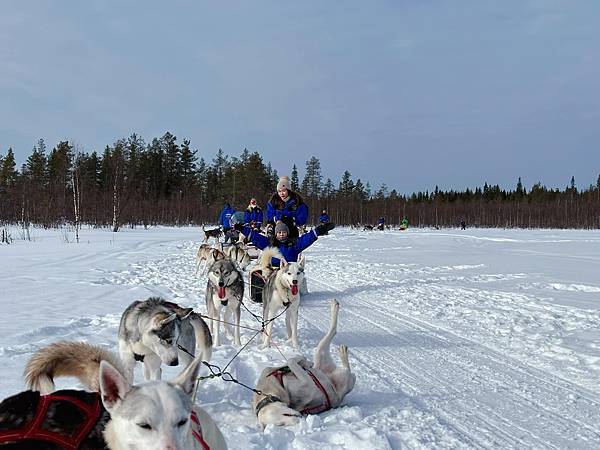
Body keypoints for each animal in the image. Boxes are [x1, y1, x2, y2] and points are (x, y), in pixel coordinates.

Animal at [253, 300, 356, 428]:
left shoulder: (267, 371)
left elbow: (290, 361)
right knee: (347, 367)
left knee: (333, 331)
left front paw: (304, 361)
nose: (299, 418)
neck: (267, 392)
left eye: (285, 415)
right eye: (281, 424)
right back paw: (343, 352)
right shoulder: (306, 383)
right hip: (339, 372)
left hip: (319, 355)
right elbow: (291, 361)